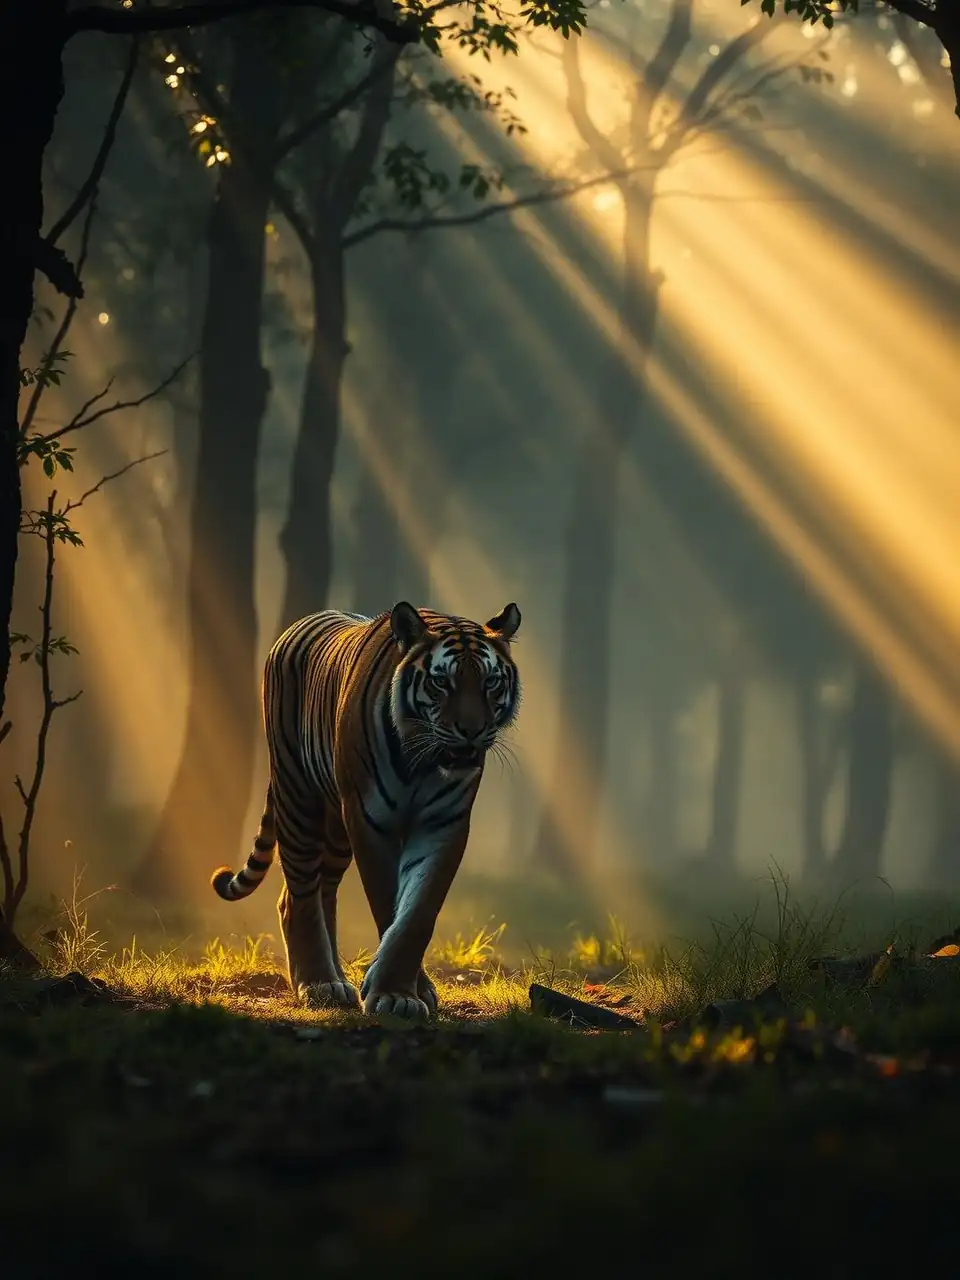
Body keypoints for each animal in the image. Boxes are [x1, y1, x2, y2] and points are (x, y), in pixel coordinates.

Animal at [211, 601, 521, 1020]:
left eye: (490, 682)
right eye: (441, 682)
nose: (471, 731)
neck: (421, 759)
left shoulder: (444, 824)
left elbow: (417, 912)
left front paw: (405, 991)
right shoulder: (370, 819)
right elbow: (388, 904)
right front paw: (395, 994)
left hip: (335, 826)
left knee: (319, 891)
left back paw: (334, 979)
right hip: (298, 797)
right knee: (300, 894)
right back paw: (319, 983)